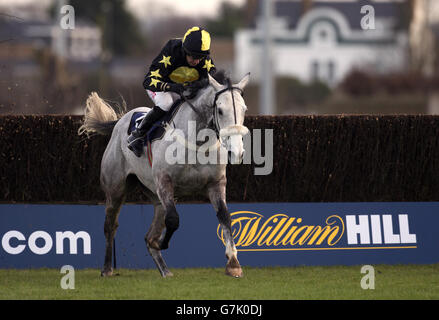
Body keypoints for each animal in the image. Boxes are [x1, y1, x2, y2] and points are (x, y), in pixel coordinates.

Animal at [78, 72, 251, 278]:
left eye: (244, 109)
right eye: (220, 110)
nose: (237, 152)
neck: (196, 141)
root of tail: (120, 121)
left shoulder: (216, 183)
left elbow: (224, 216)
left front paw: (233, 264)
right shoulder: (164, 181)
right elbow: (173, 220)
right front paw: (162, 243)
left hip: (155, 195)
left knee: (149, 233)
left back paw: (165, 270)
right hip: (116, 189)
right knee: (110, 225)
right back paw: (106, 269)